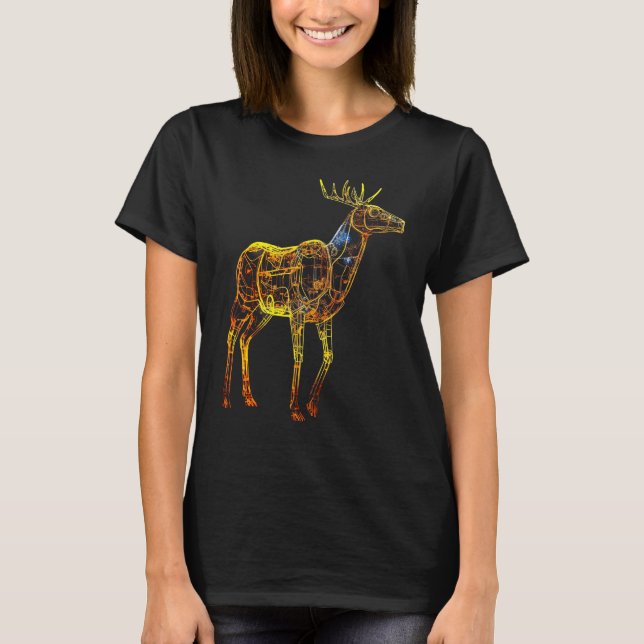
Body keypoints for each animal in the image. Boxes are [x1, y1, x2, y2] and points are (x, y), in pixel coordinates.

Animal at [222, 179, 405, 421]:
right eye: (374, 211)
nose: (402, 223)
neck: (336, 277)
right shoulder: (297, 310)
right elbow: (299, 355)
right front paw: (295, 409)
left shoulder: (324, 316)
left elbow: (329, 355)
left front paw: (312, 405)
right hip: (244, 298)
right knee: (232, 335)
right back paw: (226, 398)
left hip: (264, 310)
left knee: (245, 338)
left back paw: (249, 397)